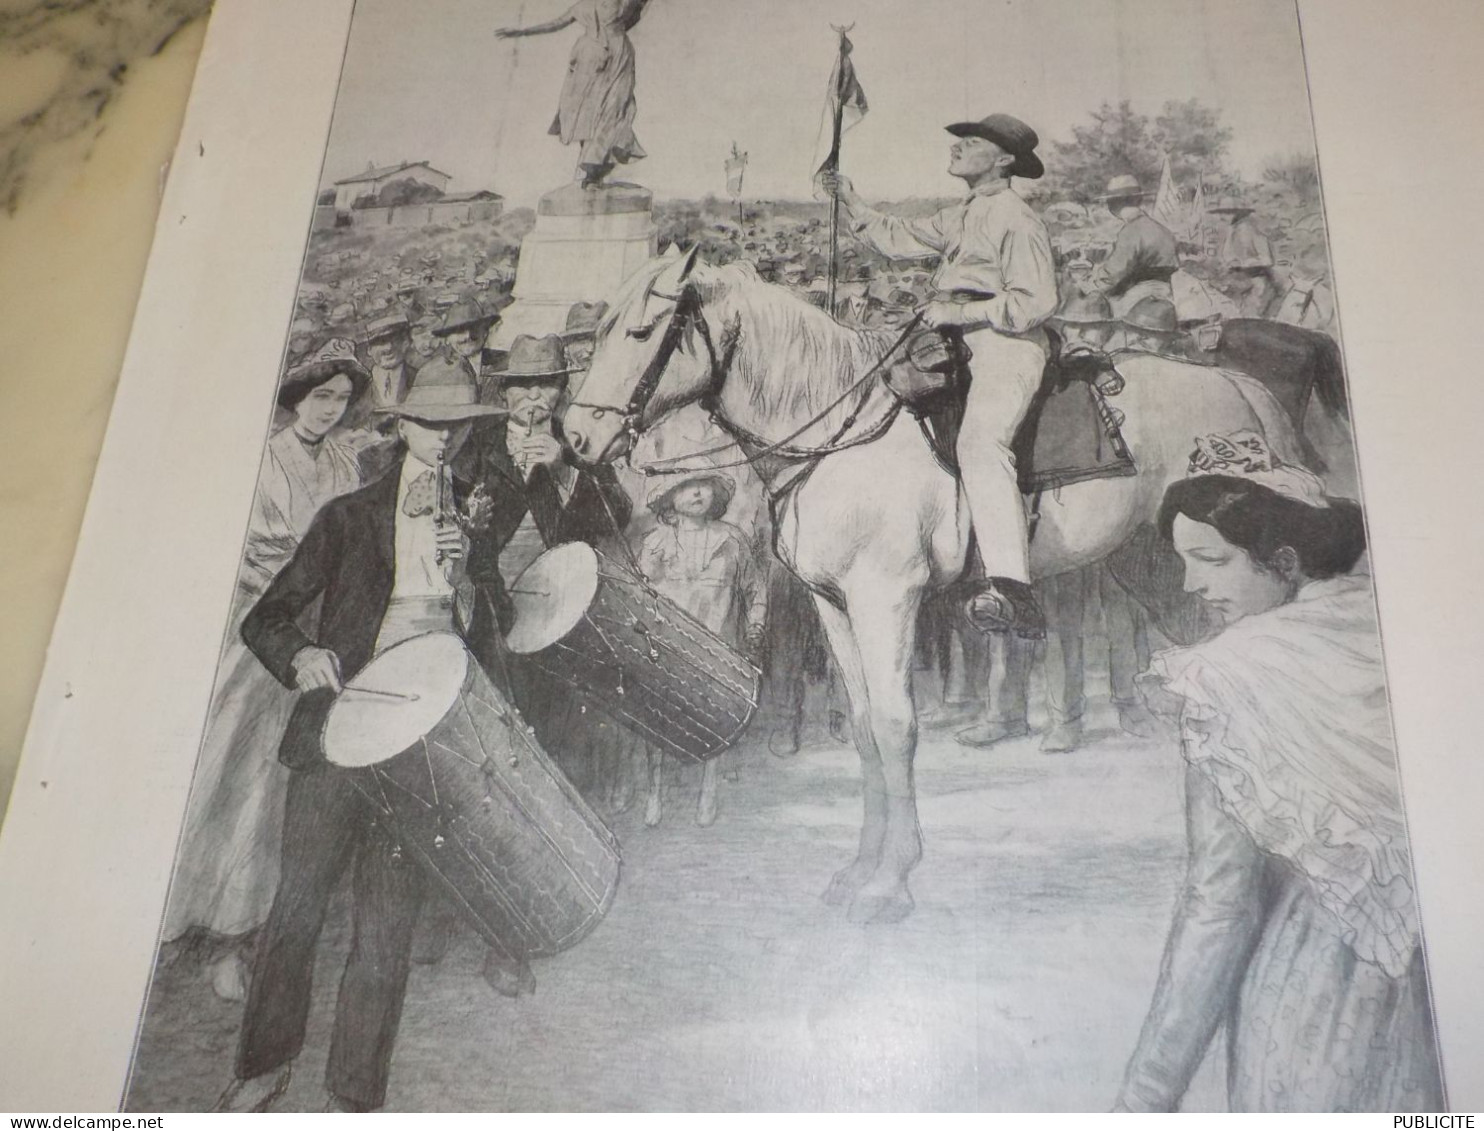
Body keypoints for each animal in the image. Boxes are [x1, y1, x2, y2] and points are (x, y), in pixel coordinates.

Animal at [560, 249, 1305, 926]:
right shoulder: (835, 605)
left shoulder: (885, 597)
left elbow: (897, 726)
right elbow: (865, 728)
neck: (839, 436)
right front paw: (858, 869)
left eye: (640, 331)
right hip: (1165, 572)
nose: (573, 436)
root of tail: (1237, 385)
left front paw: (890, 882)